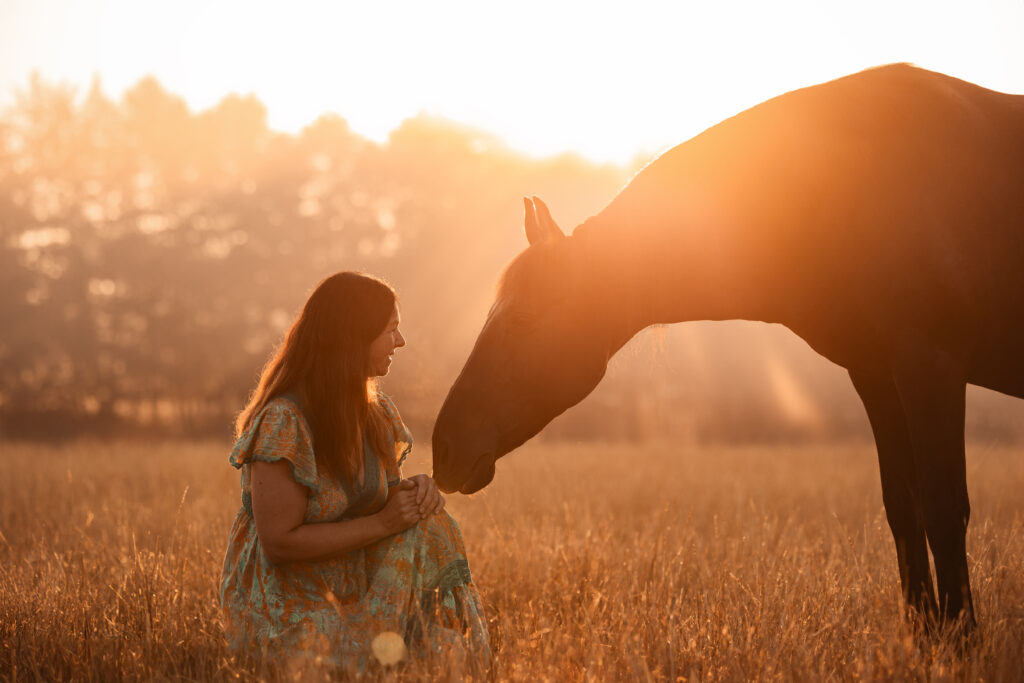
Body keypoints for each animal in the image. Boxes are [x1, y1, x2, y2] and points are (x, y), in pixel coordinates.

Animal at [430, 63, 1024, 630]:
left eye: (522, 320)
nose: (444, 449)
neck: (842, 186)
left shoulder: (932, 369)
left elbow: (945, 510)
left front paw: (961, 638)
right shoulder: (877, 375)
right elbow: (906, 509)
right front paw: (926, 638)